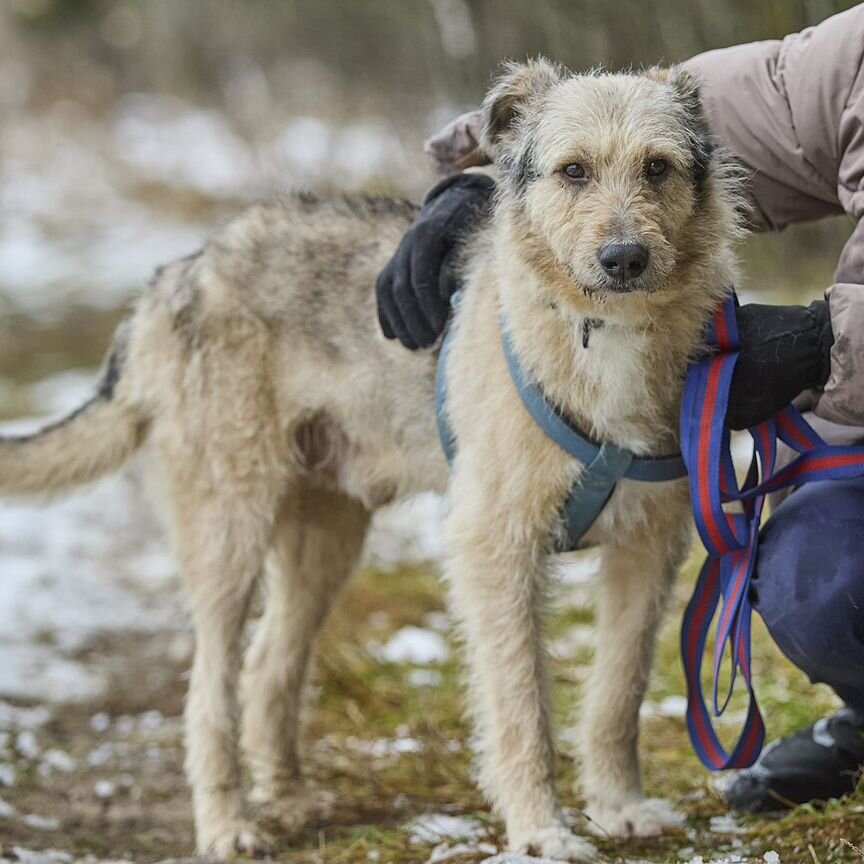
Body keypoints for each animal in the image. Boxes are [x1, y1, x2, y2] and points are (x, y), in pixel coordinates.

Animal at [0, 60, 744, 856]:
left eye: (657, 167)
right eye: (573, 170)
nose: (625, 258)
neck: (598, 332)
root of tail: (176, 274)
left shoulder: (649, 545)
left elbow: (617, 693)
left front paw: (618, 806)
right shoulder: (494, 544)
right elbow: (521, 706)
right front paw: (541, 831)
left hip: (325, 540)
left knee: (270, 669)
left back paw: (289, 799)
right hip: (230, 532)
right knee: (210, 693)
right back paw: (229, 824)